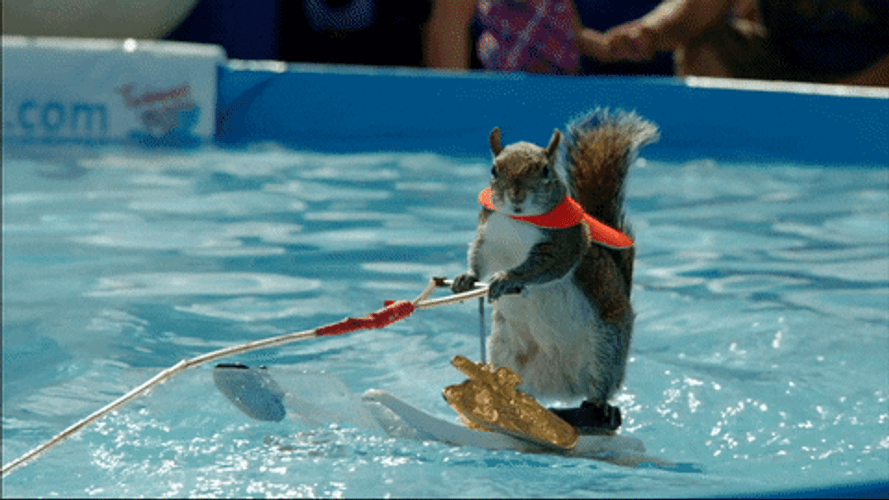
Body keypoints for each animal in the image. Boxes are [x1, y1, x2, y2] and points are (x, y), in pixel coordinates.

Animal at [451, 109, 659, 433]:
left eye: (546, 170)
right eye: (494, 170)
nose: (517, 196)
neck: (518, 222)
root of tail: (560, 386)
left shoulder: (564, 245)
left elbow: (542, 268)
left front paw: (507, 279)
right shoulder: (486, 237)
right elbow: (476, 259)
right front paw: (466, 278)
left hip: (606, 348)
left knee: (600, 387)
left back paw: (601, 408)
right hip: (506, 351)